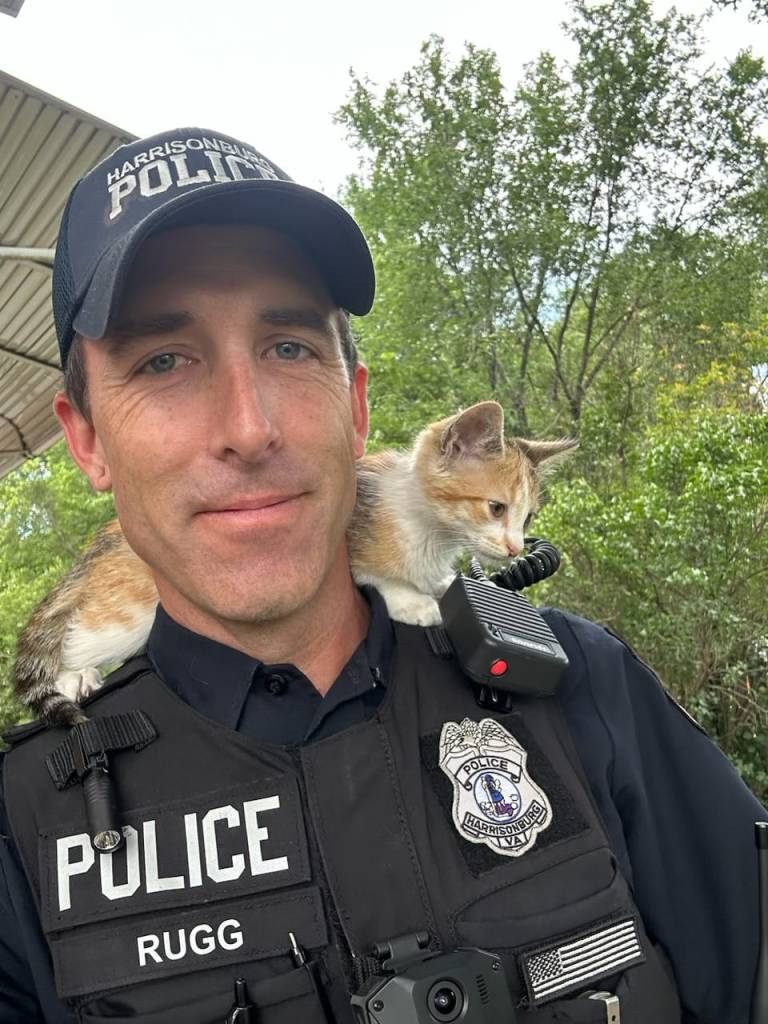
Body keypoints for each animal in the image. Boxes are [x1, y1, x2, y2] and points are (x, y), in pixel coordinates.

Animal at [13, 401, 577, 729]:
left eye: (528, 516)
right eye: (496, 508)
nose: (515, 550)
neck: (426, 526)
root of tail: (100, 545)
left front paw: (444, 589)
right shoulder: (336, 544)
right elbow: (376, 575)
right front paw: (416, 603)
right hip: (132, 609)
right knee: (79, 635)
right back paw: (74, 677)